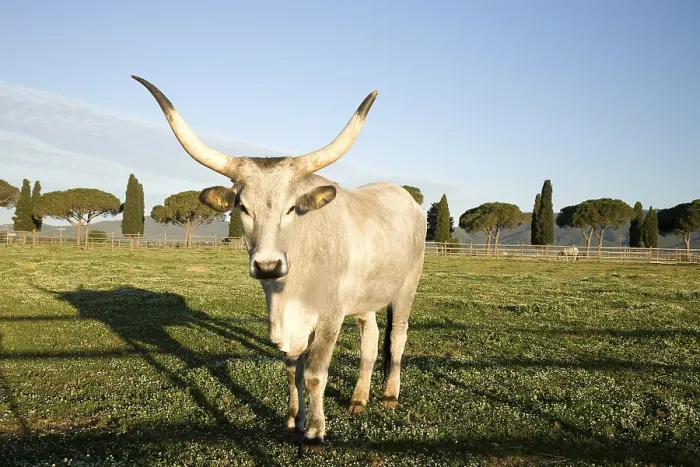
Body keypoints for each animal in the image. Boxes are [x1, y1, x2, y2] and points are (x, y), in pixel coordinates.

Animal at [131, 76, 427, 455]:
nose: (268, 265)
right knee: (371, 340)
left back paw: (389, 395)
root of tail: (405, 196)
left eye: (291, 208)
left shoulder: (329, 315)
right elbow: (292, 370)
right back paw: (359, 399)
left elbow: (315, 372)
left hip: (407, 287)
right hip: (367, 298)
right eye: (242, 207)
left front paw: (314, 433)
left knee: (398, 337)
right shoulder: (289, 319)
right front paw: (292, 423)